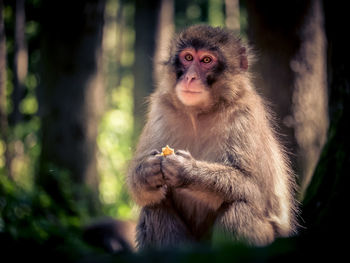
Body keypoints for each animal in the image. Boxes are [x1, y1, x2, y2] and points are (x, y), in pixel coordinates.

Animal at [127, 24, 300, 250]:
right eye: (188, 57)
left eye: (207, 60)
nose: (190, 77)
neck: (198, 113)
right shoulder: (161, 110)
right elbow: (141, 190)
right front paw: (147, 172)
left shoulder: (245, 116)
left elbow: (255, 189)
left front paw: (186, 170)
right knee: (155, 207)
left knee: (239, 210)